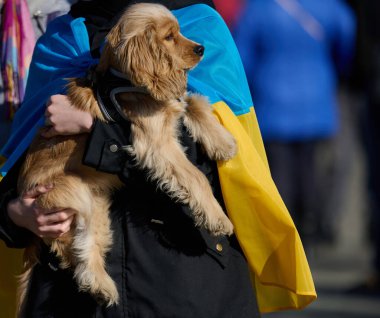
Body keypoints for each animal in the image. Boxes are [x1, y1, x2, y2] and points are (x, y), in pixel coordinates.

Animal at [18, 2, 238, 310]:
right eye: (169, 37)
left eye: (180, 31)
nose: (201, 49)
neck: (123, 80)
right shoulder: (156, 144)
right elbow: (195, 176)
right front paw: (218, 218)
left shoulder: (171, 105)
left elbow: (193, 100)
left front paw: (222, 141)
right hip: (73, 192)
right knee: (81, 247)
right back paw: (103, 286)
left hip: (97, 205)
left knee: (85, 247)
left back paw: (102, 288)